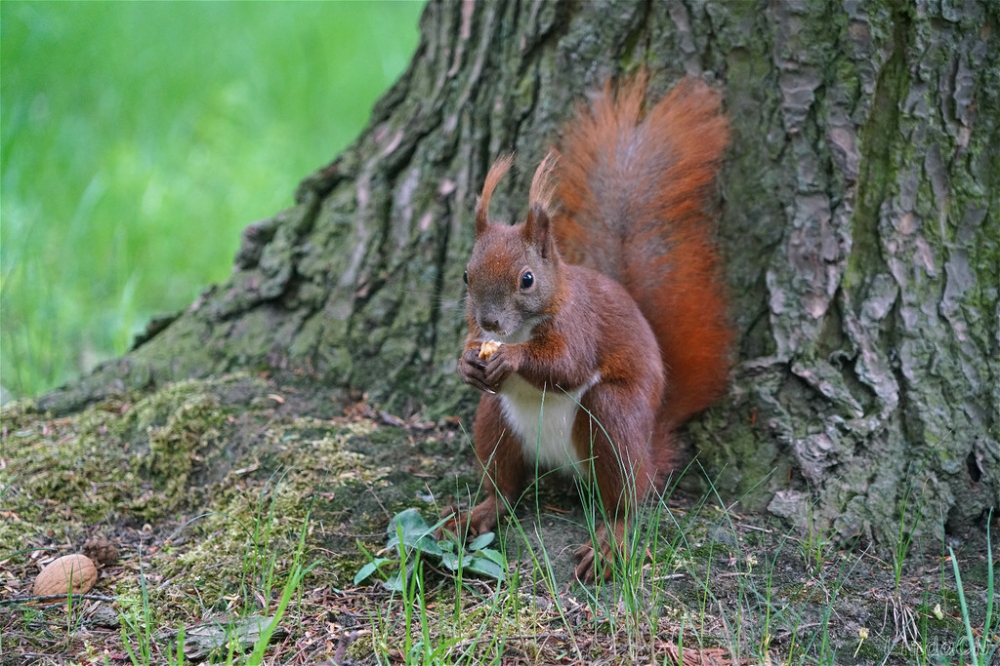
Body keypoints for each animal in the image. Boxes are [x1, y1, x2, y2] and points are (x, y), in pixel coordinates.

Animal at [450, 74, 732, 580]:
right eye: (466, 275)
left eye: (527, 279)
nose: (489, 320)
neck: (522, 327)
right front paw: (466, 362)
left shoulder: (579, 326)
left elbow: (567, 365)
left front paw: (514, 359)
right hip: (495, 421)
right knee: (504, 485)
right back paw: (480, 512)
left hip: (613, 418)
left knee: (625, 500)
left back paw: (608, 544)